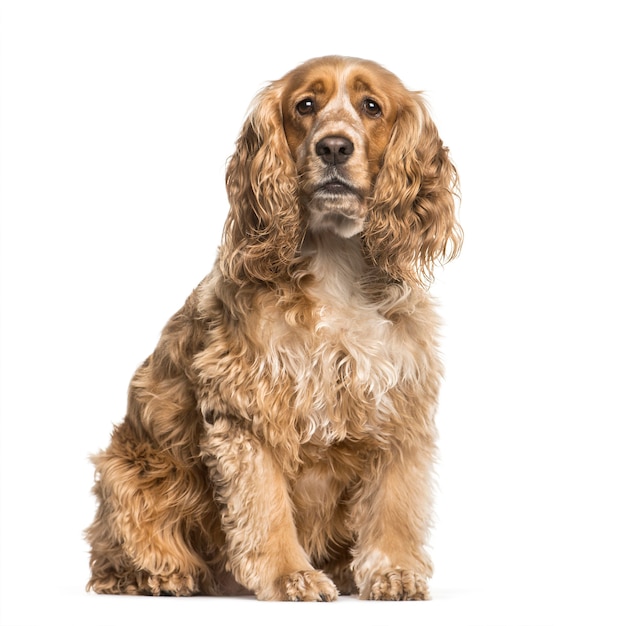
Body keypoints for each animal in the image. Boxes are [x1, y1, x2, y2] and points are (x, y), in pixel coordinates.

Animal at [87, 56, 462, 596]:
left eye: (371, 107)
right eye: (305, 105)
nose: (334, 146)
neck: (335, 267)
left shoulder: (398, 410)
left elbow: (394, 505)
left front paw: (392, 571)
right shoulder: (249, 413)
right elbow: (265, 508)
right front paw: (292, 577)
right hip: (128, 470)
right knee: (116, 550)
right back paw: (157, 576)